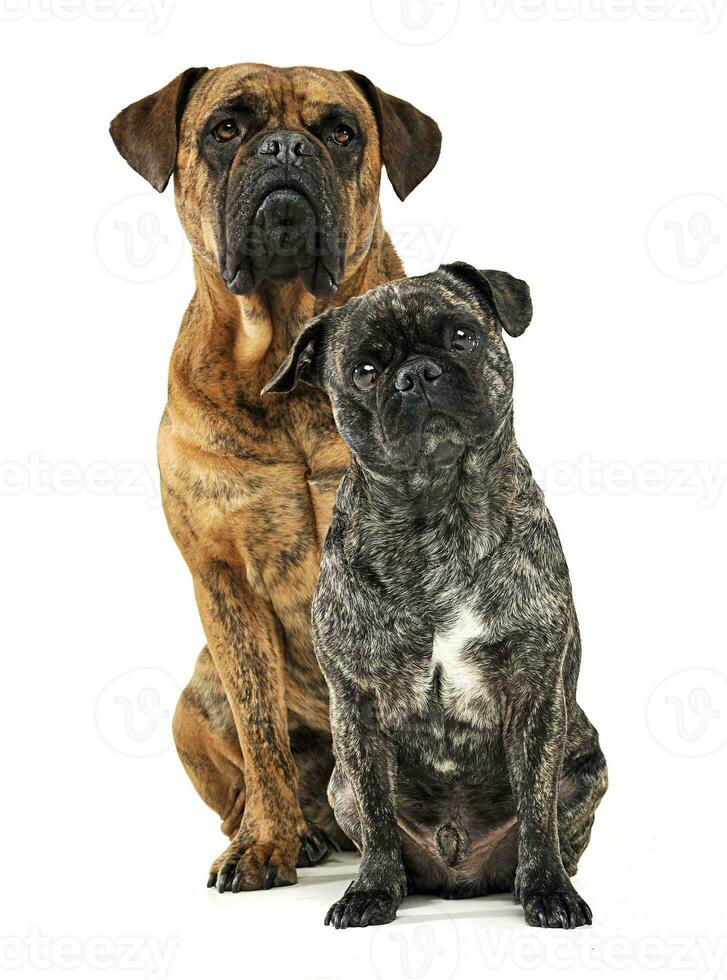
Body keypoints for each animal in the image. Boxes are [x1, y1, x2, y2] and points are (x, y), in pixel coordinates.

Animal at [112, 59, 444, 888]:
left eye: (340, 131)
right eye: (226, 128)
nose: (286, 148)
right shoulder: (221, 578)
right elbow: (261, 733)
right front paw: (266, 845)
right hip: (194, 698)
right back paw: (292, 832)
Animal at [264, 262, 612, 928]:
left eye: (461, 336)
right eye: (364, 370)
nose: (417, 374)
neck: (437, 513)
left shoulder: (534, 693)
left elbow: (536, 807)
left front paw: (549, 890)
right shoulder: (358, 709)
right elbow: (377, 815)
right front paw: (371, 890)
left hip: (589, 764)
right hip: (339, 785)